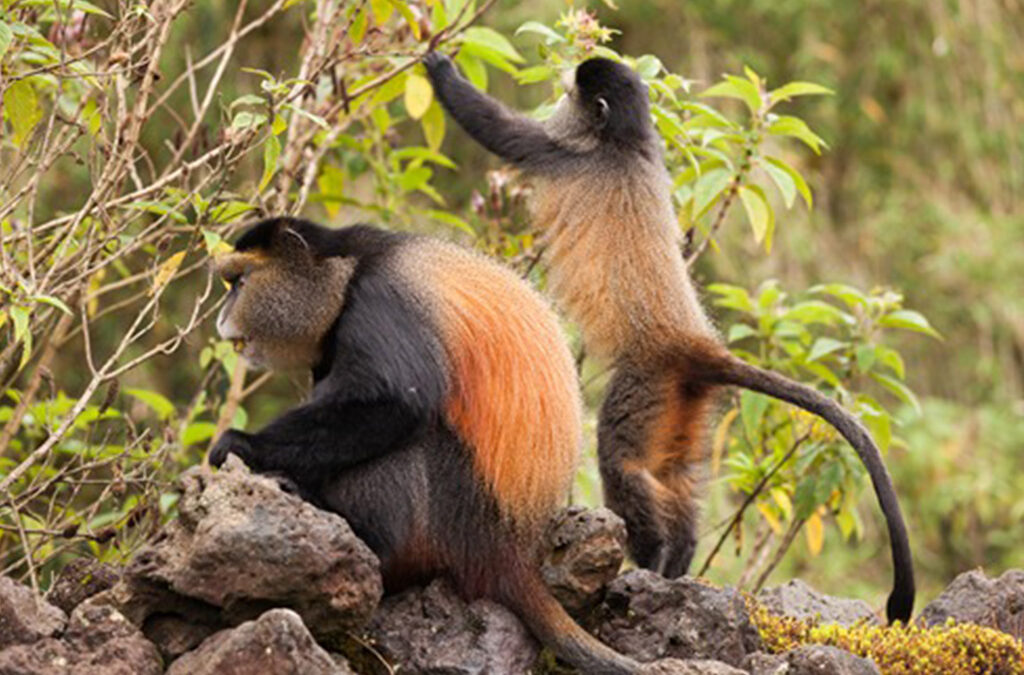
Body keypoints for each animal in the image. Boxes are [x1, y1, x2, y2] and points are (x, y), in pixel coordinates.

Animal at [208, 217, 641, 674]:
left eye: (240, 283)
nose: (221, 318)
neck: (348, 271)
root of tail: (514, 552)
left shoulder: (380, 301)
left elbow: (398, 401)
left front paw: (241, 445)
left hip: (458, 519)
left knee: (411, 440)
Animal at [424, 52, 915, 623]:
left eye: (571, 96)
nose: (562, 98)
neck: (628, 143)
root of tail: (692, 344)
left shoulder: (563, 151)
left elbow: (498, 129)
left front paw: (441, 70)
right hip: (686, 399)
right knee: (675, 474)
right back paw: (677, 558)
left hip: (646, 382)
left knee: (622, 461)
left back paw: (653, 554)